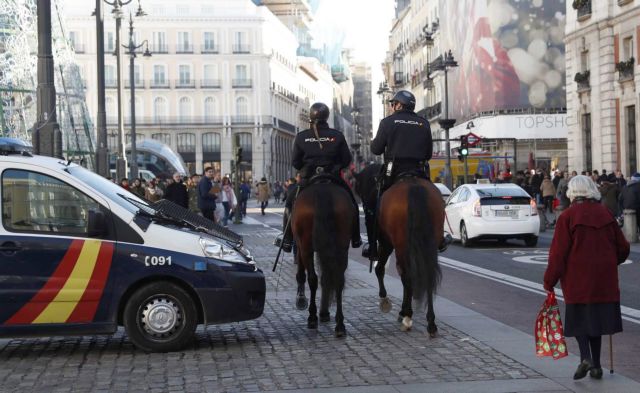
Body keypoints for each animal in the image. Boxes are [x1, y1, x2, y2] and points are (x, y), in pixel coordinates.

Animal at [292, 176, 356, 336]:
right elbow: (326, 277)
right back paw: (340, 324)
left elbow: (303, 273)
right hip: (342, 246)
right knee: (338, 279)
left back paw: (312, 317)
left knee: (312, 279)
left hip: (306, 246)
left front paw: (302, 299)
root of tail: (323, 191)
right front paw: (325, 312)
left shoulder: (301, 246)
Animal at [356, 164, 444, 336]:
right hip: (428, 245)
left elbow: (380, 269)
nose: (362, 204)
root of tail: (414, 187)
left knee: (406, 275)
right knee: (427, 274)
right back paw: (431, 323)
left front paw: (389, 303)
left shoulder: (387, 243)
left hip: (399, 245)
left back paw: (408, 317)